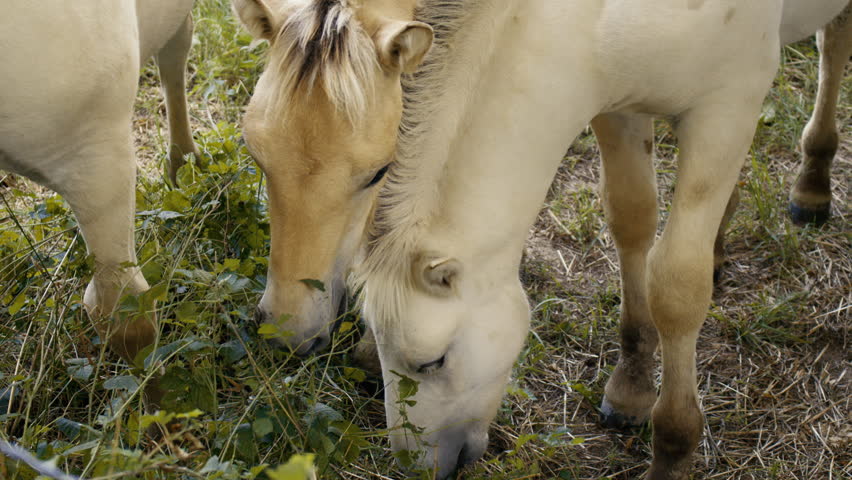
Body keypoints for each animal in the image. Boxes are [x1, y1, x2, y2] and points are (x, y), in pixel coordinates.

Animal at [233, 0, 850, 478]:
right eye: (258, 158)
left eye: (432, 362)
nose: (417, 469)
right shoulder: (619, 103)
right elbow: (632, 221)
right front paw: (631, 385)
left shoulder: (727, 107)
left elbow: (676, 286)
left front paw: (673, 446)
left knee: (835, 42)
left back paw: (814, 182)